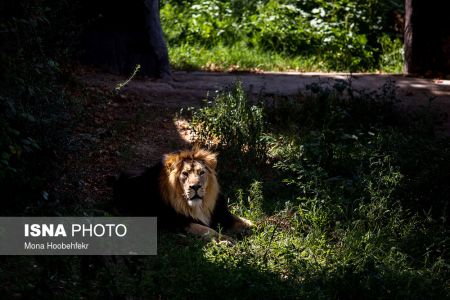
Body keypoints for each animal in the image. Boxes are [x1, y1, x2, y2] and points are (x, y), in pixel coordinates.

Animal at [110, 148, 253, 239]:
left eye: (201, 173)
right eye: (185, 174)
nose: (195, 186)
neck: (199, 206)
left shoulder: (220, 213)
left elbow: (242, 221)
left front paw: (255, 226)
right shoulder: (176, 222)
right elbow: (206, 230)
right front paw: (225, 240)